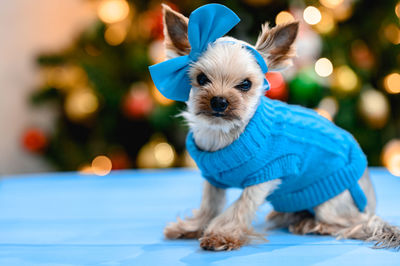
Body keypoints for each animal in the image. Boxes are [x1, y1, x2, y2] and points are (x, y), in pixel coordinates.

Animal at [151, 4, 400, 250]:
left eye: (245, 84)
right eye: (201, 79)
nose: (219, 101)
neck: (225, 134)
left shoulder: (267, 174)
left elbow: (239, 207)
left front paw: (221, 235)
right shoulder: (213, 179)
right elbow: (210, 204)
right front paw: (192, 227)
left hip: (331, 202)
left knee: (357, 223)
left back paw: (313, 225)